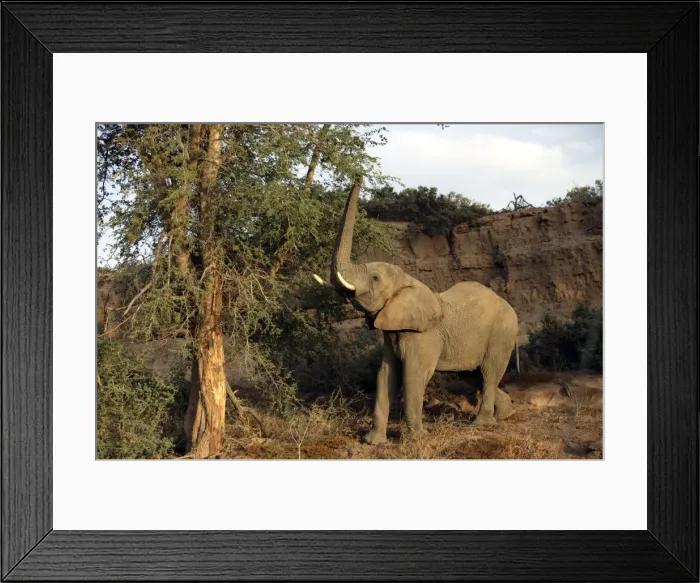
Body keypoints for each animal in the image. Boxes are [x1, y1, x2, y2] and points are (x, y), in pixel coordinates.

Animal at [313, 180, 520, 445]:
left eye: (375, 278)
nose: (359, 177)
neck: (408, 281)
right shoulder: (392, 331)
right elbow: (386, 375)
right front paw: (373, 442)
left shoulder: (423, 335)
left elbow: (413, 375)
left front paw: (417, 439)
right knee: (473, 375)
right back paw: (506, 414)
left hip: (501, 334)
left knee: (488, 373)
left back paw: (482, 424)